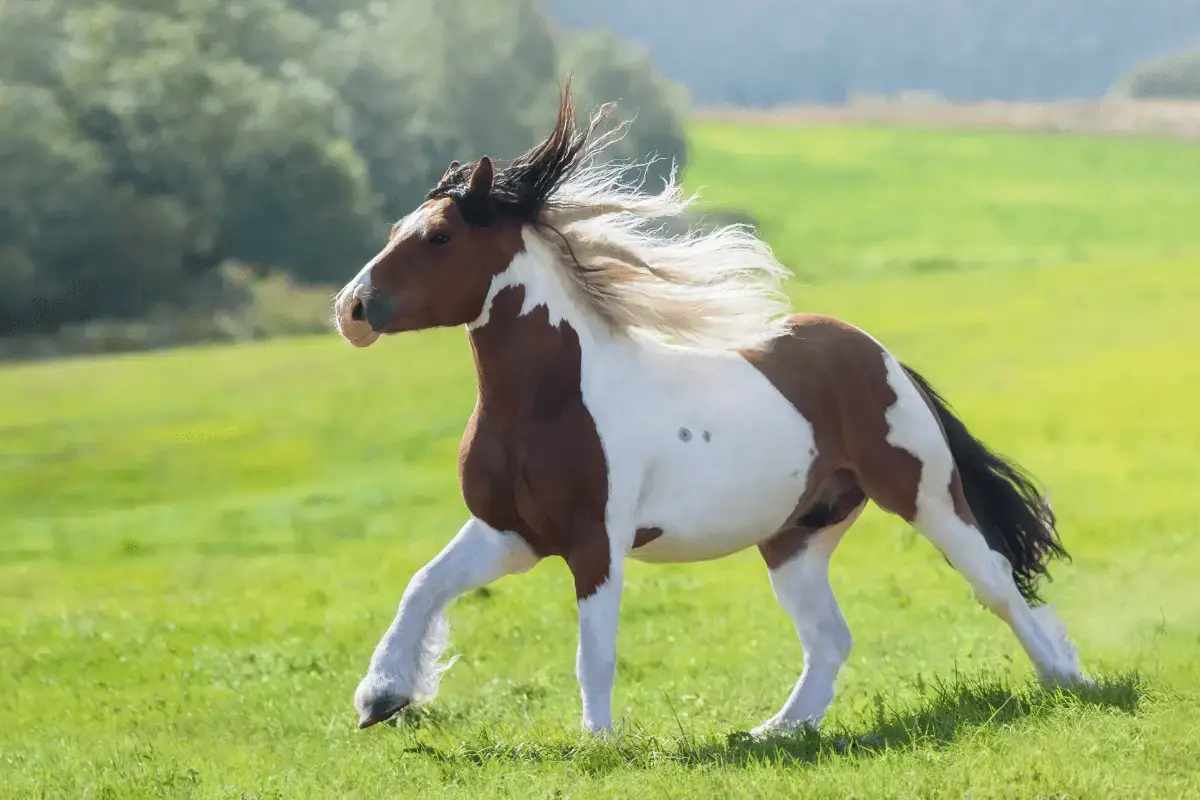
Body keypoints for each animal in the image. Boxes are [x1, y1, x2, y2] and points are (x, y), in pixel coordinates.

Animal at [333, 84, 1087, 736]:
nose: (351, 309)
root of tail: (880, 355)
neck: (549, 402)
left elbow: (593, 652)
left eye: (439, 238)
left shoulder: (595, 541)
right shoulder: (509, 533)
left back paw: (1071, 681)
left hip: (925, 496)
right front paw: (380, 698)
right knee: (830, 637)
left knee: (997, 584)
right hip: (796, 535)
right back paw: (773, 732)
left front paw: (598, 744)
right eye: (397, 227)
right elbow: (423, 586)